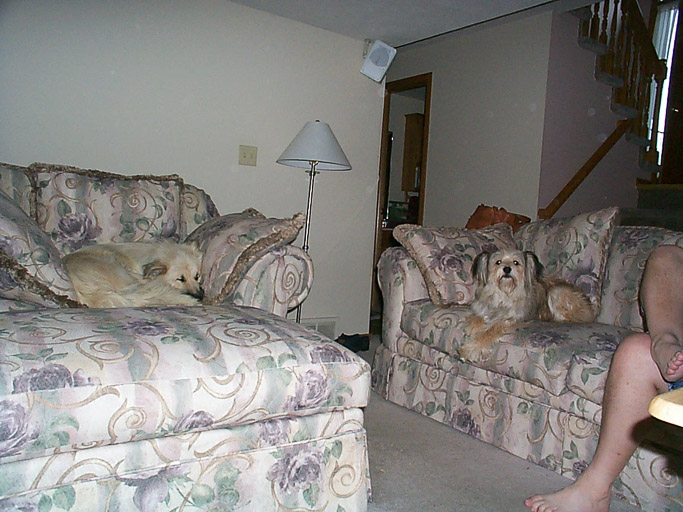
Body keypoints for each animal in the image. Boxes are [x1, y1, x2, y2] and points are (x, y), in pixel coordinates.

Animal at [461, 248, 596, 361]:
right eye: (498, 262)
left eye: (516, 262)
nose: (507, 269)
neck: (504, 294)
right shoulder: (482, 308)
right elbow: (478, 316)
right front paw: (474, 325)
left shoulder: (510, 319)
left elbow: (490, 330)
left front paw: (473, 348)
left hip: (557, 291)